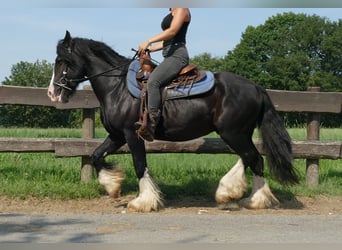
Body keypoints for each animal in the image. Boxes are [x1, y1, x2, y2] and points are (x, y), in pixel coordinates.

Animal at [47, 30, 296, 211]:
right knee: (252, 159)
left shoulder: (132, 135)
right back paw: (245, 196)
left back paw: (241, 195)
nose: (52, 93)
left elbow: (140, 165)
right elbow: (96, 155)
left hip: (233, 133)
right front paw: (113, 186)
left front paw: (143, 201)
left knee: (252, 157)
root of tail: (256, 87)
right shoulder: (117, 135)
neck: (117, 88)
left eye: (63, 61)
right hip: (239, 133)